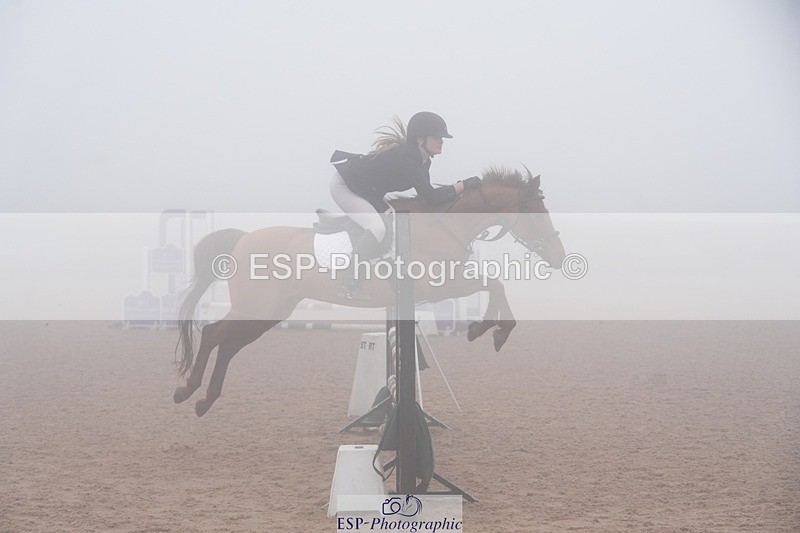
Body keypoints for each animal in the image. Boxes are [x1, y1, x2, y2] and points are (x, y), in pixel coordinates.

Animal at [174, 167, 566, 416]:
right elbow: (493, 282)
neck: (441, 225)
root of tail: (242, 238)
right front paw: (489, 331)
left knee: (228, 345)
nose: (559, 257)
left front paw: (488, 329)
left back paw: (204, 401)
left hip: (271, 312)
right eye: (535, 211)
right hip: (256, 307)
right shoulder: (439, 284)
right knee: (212, 334)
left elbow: (493, 282)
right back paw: (186, 390)